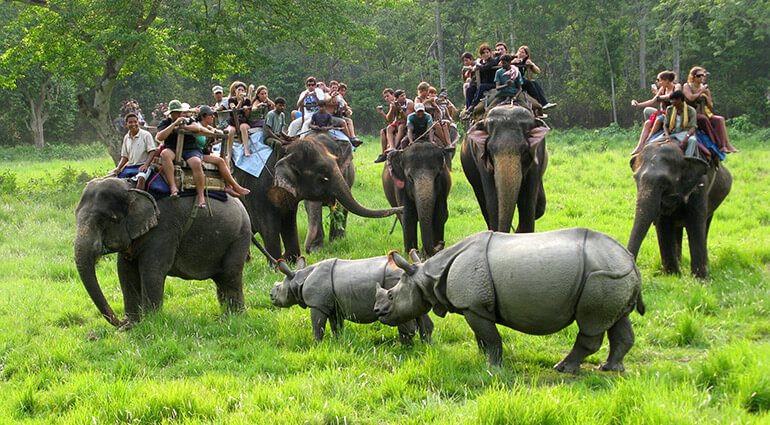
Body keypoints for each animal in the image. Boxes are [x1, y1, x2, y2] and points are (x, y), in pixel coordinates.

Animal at [74, 177, 250, 326]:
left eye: (105, 220)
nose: (120, 321)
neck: (133, 188)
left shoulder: (164, 228)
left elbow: (151, 271)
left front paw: (150, 323)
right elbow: (125, 272)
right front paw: (132, 325)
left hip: (239, 237)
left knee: (230, 275)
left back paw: (232, 317)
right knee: (221, 279)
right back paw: (225, 315)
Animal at [268, 253, 432, 342]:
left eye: (279, 288)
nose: (271, 296)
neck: (298, 279)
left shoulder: (317, 305)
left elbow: (317, 327)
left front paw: (316, 345)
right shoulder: (332, 305)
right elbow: (336, 326)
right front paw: (338, 342)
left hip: (394, 281)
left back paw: (401, 348)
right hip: (410, 286)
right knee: (418, 313)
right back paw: (425, 347)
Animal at [372, 227, 640, 370]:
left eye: (392, 295)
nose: (378, 313)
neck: (428, 277)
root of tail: (630, 262)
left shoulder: (473, 305)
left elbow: (491, 337)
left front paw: (493, 367)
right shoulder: (476, 307)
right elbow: (481, 336)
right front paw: (482, 360)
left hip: (600, 276)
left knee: (590, 324)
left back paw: (564, 368)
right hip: (613, 276)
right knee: (617, 320)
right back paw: (610, 368)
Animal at [624, 142, 732, 278]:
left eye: (664, 183)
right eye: (635, 179)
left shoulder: (699, 186)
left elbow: (695, 223)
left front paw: (699, 279)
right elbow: (663, 224)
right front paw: (672, 276)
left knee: (705, 223)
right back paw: (679, 262)